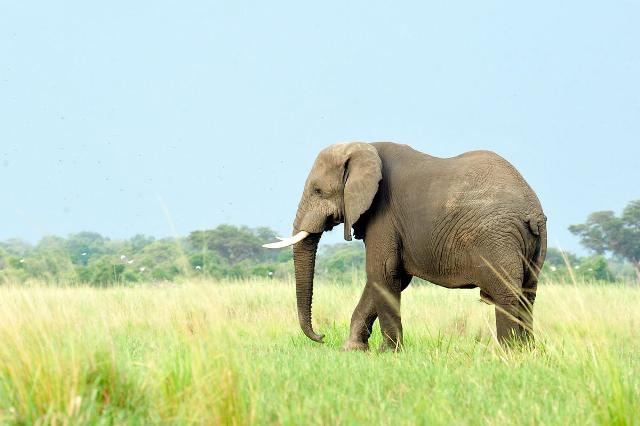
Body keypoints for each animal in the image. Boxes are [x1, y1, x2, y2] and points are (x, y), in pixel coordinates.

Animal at [262, 141, 548, 352]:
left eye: (318, 190)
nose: (321, 337)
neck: (365, 148)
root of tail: (532, 211)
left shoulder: (383, 214)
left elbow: (382, 272)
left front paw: (388, 353)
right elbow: (388, 279)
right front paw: (352, 350)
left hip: (496, 238)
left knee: (506, 294)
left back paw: (509, 353)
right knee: (528, 295)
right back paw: (528, 352)